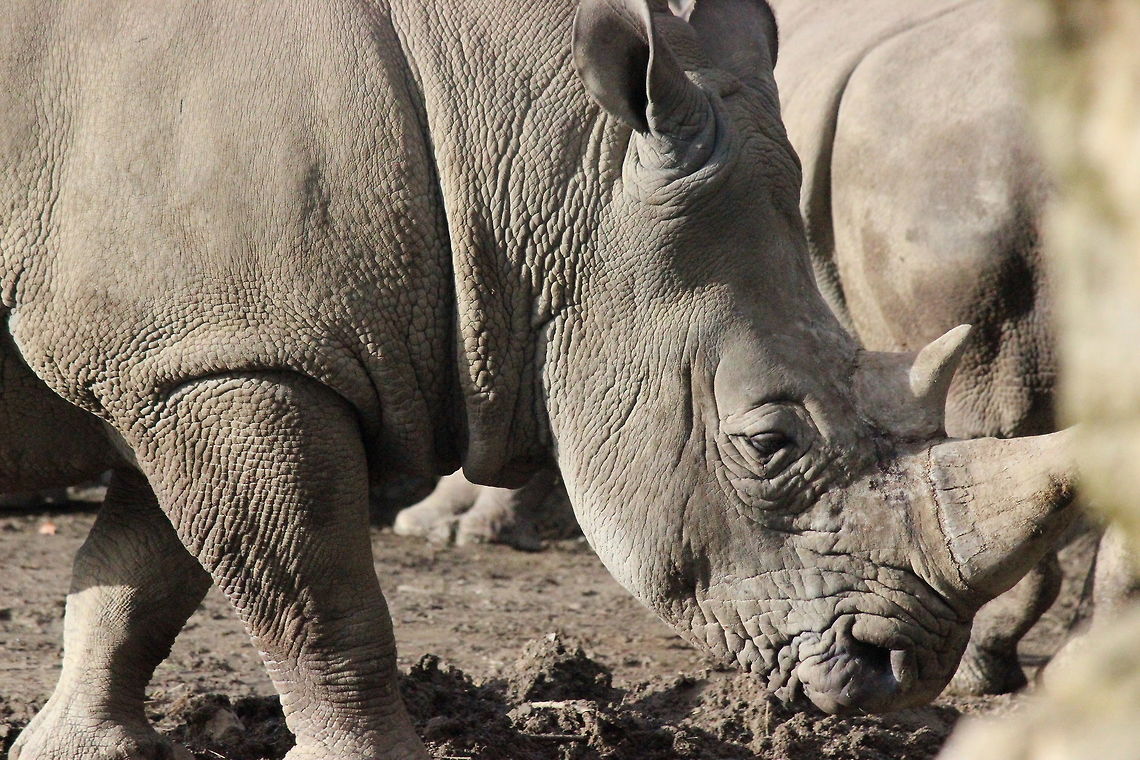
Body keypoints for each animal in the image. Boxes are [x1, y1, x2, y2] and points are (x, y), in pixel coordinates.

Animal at [3, 0, 1076, 757]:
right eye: (771, 444)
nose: (904, 670)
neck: (539, 165)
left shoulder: (189, 350)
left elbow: (145, 572)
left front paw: (76, 751)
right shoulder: (221, 356)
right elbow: (314, 592)